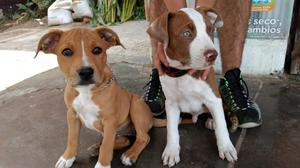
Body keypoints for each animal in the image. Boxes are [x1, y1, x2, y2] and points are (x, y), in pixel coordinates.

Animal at [35, 27, 155, 168]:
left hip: (136, 107)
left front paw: (102, 164)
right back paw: (96, 148)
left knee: (143, 137)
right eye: (67, 52)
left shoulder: (109, 121)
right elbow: (72, 139)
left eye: (97, 50)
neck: (86, 91)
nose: (85, 72)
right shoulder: (72, 115)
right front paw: (67, 158)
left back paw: (129, 155)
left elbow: (107, 147)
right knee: (124, 140)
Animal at [147, 7, 237, 167]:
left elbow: (222, 126)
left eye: (210, 30)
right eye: (186, 34)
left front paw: (226, 148)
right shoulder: (171, 104)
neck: (183, 74)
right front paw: (171, 151)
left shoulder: (213, 98)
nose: (213, 55)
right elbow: (171, 130)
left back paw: (211, 120)